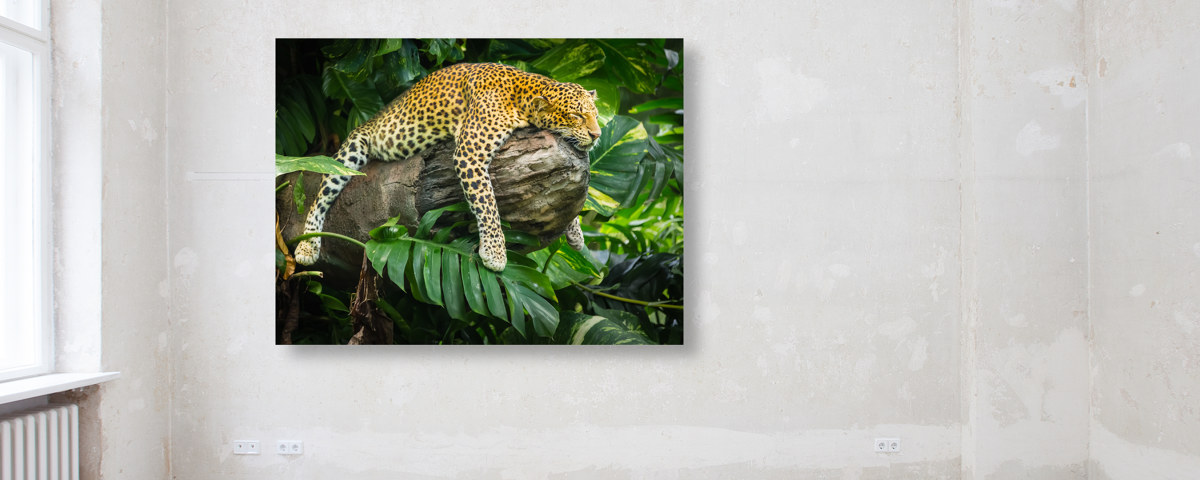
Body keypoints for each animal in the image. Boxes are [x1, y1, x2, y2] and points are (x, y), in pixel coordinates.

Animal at [293, 62, 602, 272]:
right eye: (576, 116)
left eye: (596, 115)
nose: (597, 135)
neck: (522, 94)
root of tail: (371, 119)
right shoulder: (470, 154)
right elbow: (488, 205)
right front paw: (495, 252)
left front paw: (575, 231)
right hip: (351, 150)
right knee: (320, 197)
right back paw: (308, 245)